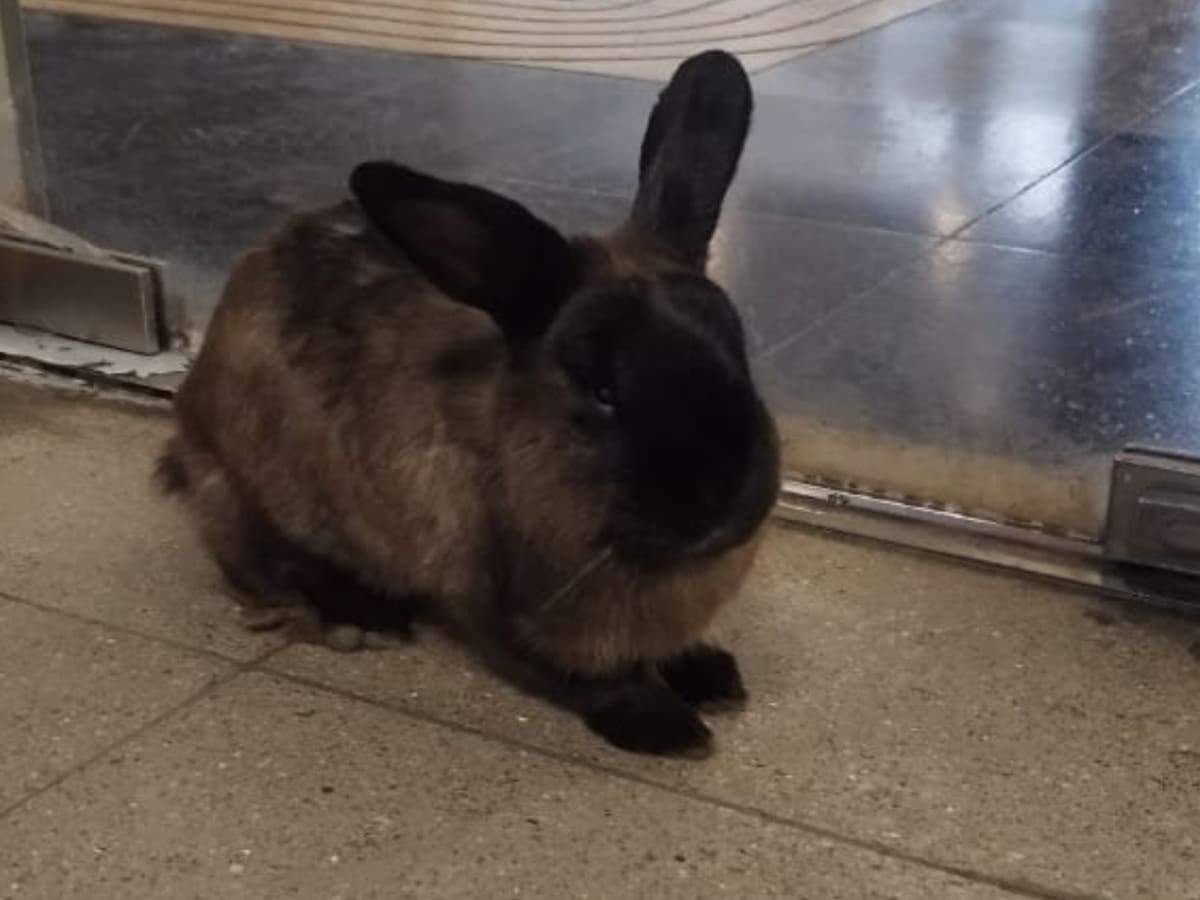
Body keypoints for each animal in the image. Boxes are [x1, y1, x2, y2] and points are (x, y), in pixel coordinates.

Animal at [158, 49, 780, 757]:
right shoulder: (494, 613)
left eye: (740, 357)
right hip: (247, 492)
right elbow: (585, 678)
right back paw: (361, 617)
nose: (723, 500)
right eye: (603, 393)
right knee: (263, 561)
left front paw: (712, 675)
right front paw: (669, 725)